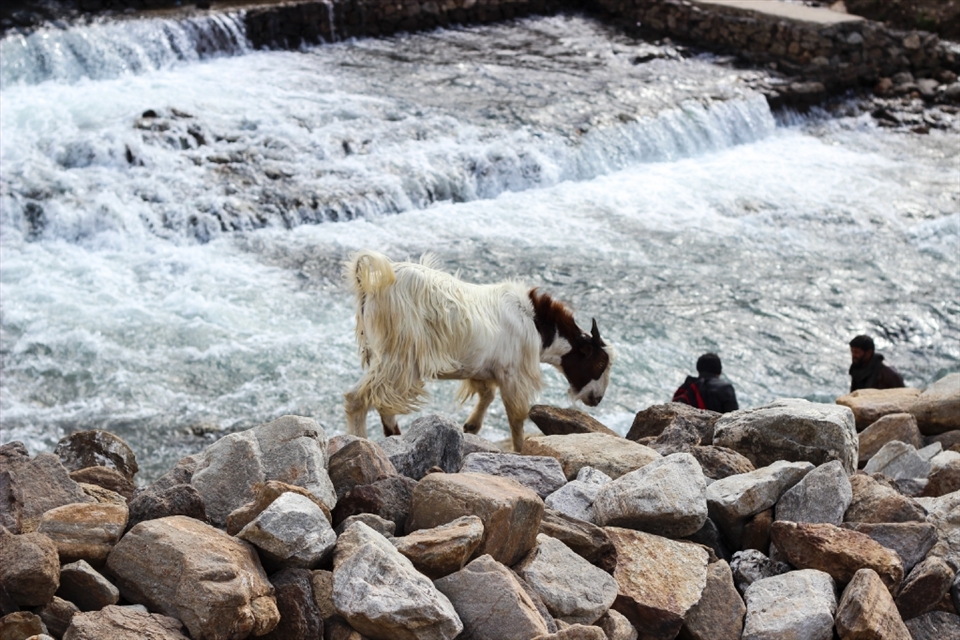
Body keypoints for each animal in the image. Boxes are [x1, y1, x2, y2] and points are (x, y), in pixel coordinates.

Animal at [343, 250, 614, 451]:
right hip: (400, 357)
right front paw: (520, 450)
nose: (597, 399)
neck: (536, 324)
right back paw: (361, 441)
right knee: (358, 398)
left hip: (382, 356)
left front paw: (470, 427)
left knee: (382, 403)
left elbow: (487, 395)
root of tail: (371, 285)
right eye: (600, 363)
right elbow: (517, 416)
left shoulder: (482, 368)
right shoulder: (513, 374)